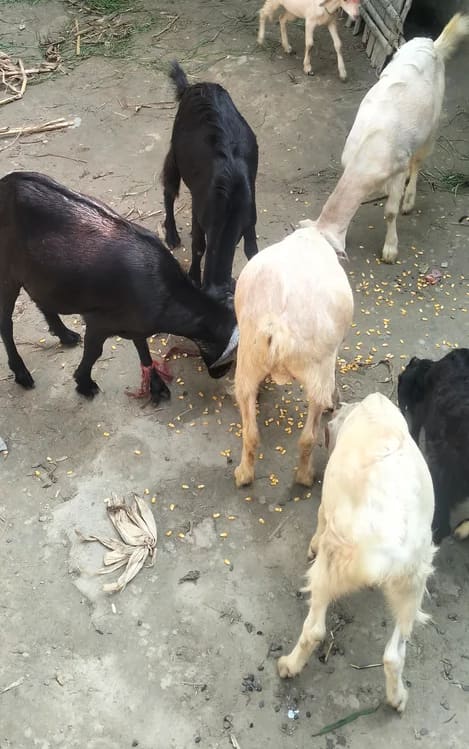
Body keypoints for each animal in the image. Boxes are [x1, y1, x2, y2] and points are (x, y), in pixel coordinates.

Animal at [0, 172, 238, 404]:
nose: (219, 374)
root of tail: (6, 184)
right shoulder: (99, 322)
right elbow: (95, 352)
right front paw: (84, 383)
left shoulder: (134, 322)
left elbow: (142, 348)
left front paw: (156, 385)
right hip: (8, 277)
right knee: (6, 323)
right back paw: (21, 373)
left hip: (39, 274)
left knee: (41, 299)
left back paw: (65, 335)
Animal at [162, 61, 258, 304]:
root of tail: (194, 87)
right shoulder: (200, 213)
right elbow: (199, 246)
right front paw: (194, 276)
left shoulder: (249, 216)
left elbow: (251, 248)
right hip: (175, 154)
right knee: (169, 191)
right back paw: (172, 235)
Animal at [233, 219, 353, 488]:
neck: (314, 235)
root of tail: (277, 326)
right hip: (317, 372)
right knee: (308, 436)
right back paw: (305, 476)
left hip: (247, 362)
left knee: (250, 431)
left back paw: (243, 474)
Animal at [278, 393, 436, 713]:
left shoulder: (327, 506)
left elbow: (320, 518)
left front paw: (312, 544)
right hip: (412, 584)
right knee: (394, 655)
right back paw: (397, 698)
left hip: (330, 565)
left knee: (314, 630)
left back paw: (289, 665)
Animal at [315, 13, 469, 263]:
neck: (367, 153)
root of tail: (431, 43)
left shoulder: (396, 168)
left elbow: (390, 211)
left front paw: (390, 249)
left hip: (433, 122)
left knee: (418, 161)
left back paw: (409, 199)